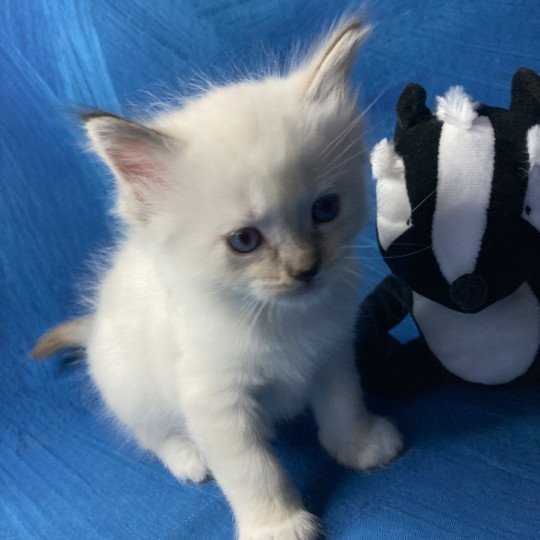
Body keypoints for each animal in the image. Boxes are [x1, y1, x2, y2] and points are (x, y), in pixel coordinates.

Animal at [32, 20, 400, 540]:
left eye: (325, 209)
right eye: (244, 240)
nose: (306, 269)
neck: (281, 320)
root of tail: (96, 325)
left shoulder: (333, 351)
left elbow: (344, 404)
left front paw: (361, 446)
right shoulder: (214, 402)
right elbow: (254, 471)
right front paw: (278, 525)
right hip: (129, 386)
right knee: (151, 433)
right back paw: (187, 456)